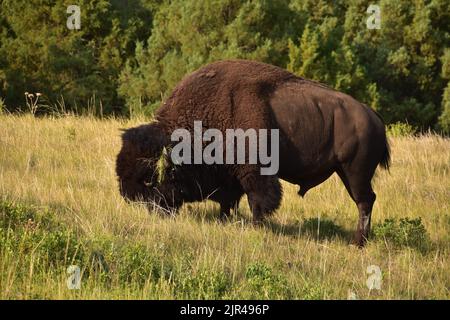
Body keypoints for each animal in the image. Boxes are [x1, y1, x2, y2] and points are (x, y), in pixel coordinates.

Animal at [117, 58, 390, 246]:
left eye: (149, 178)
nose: (130, 199)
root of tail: (374, 117)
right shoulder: (230, 176)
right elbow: (229, 201)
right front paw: (225, 220)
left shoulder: (256, 172)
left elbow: (258, 200)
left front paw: (256, 226)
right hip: (346, 172)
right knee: (367, 200)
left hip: (355, 172)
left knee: (365, 201)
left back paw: (358, 242)